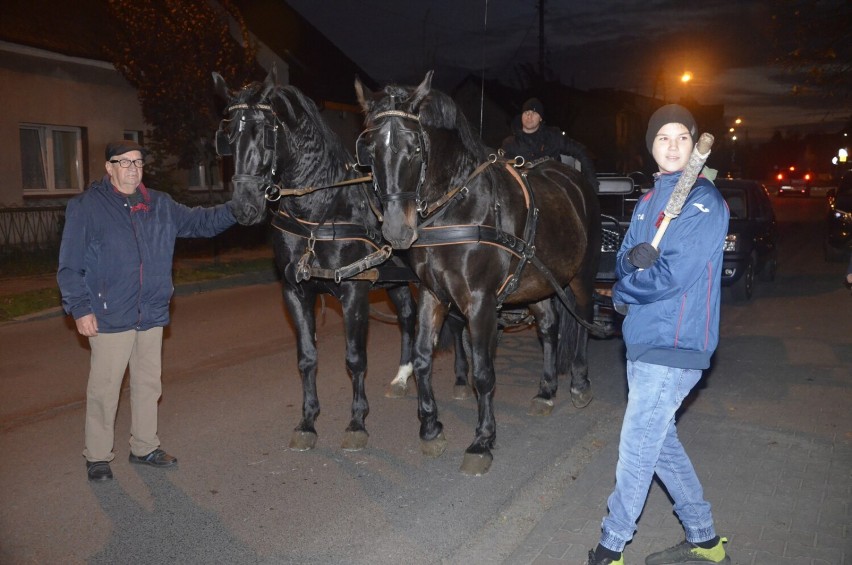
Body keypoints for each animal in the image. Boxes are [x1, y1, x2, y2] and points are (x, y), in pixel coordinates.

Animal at [210, 69, 422, 450]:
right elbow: (307, 358)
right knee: (408, 317)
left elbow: (355, 358)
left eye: (264, 134)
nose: (243, 208)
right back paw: (402, 377)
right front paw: (308, 421)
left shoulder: (354, 290)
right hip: (394, 279)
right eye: (228, 136)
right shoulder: (296, 291)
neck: (320, 210)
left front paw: (356, 422)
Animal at [356, 72, 604, 474]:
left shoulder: (481, 301)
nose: (396, 230)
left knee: (581, 320)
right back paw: (546, 391)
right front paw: (431, 428)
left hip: (581, 275)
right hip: (536, 281)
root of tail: (573, 179)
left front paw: (482, 441)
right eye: (370, 150)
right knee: (549, 327)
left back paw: (579, 384)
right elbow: (422, 358)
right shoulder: (432, 293)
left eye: (414, 148)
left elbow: (483, 371)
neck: (457, 206)